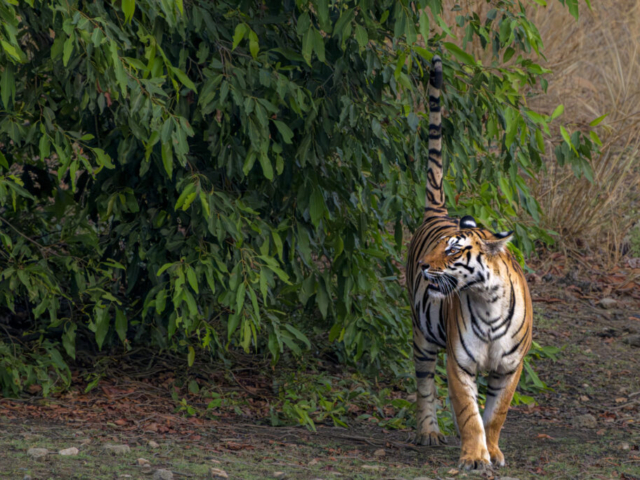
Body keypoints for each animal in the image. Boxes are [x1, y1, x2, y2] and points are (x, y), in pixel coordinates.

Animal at [406, 56, 533, 470]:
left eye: (453, 251)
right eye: (442, 250)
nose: (425, 266)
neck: (486, 300)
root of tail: (439, 211)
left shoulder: (510, 368)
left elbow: (495, 414)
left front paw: (492, 451)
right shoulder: (458, 363)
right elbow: (467, 412)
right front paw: (475, 457)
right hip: (423, 337)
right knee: (424, 384)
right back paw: (428, 433)